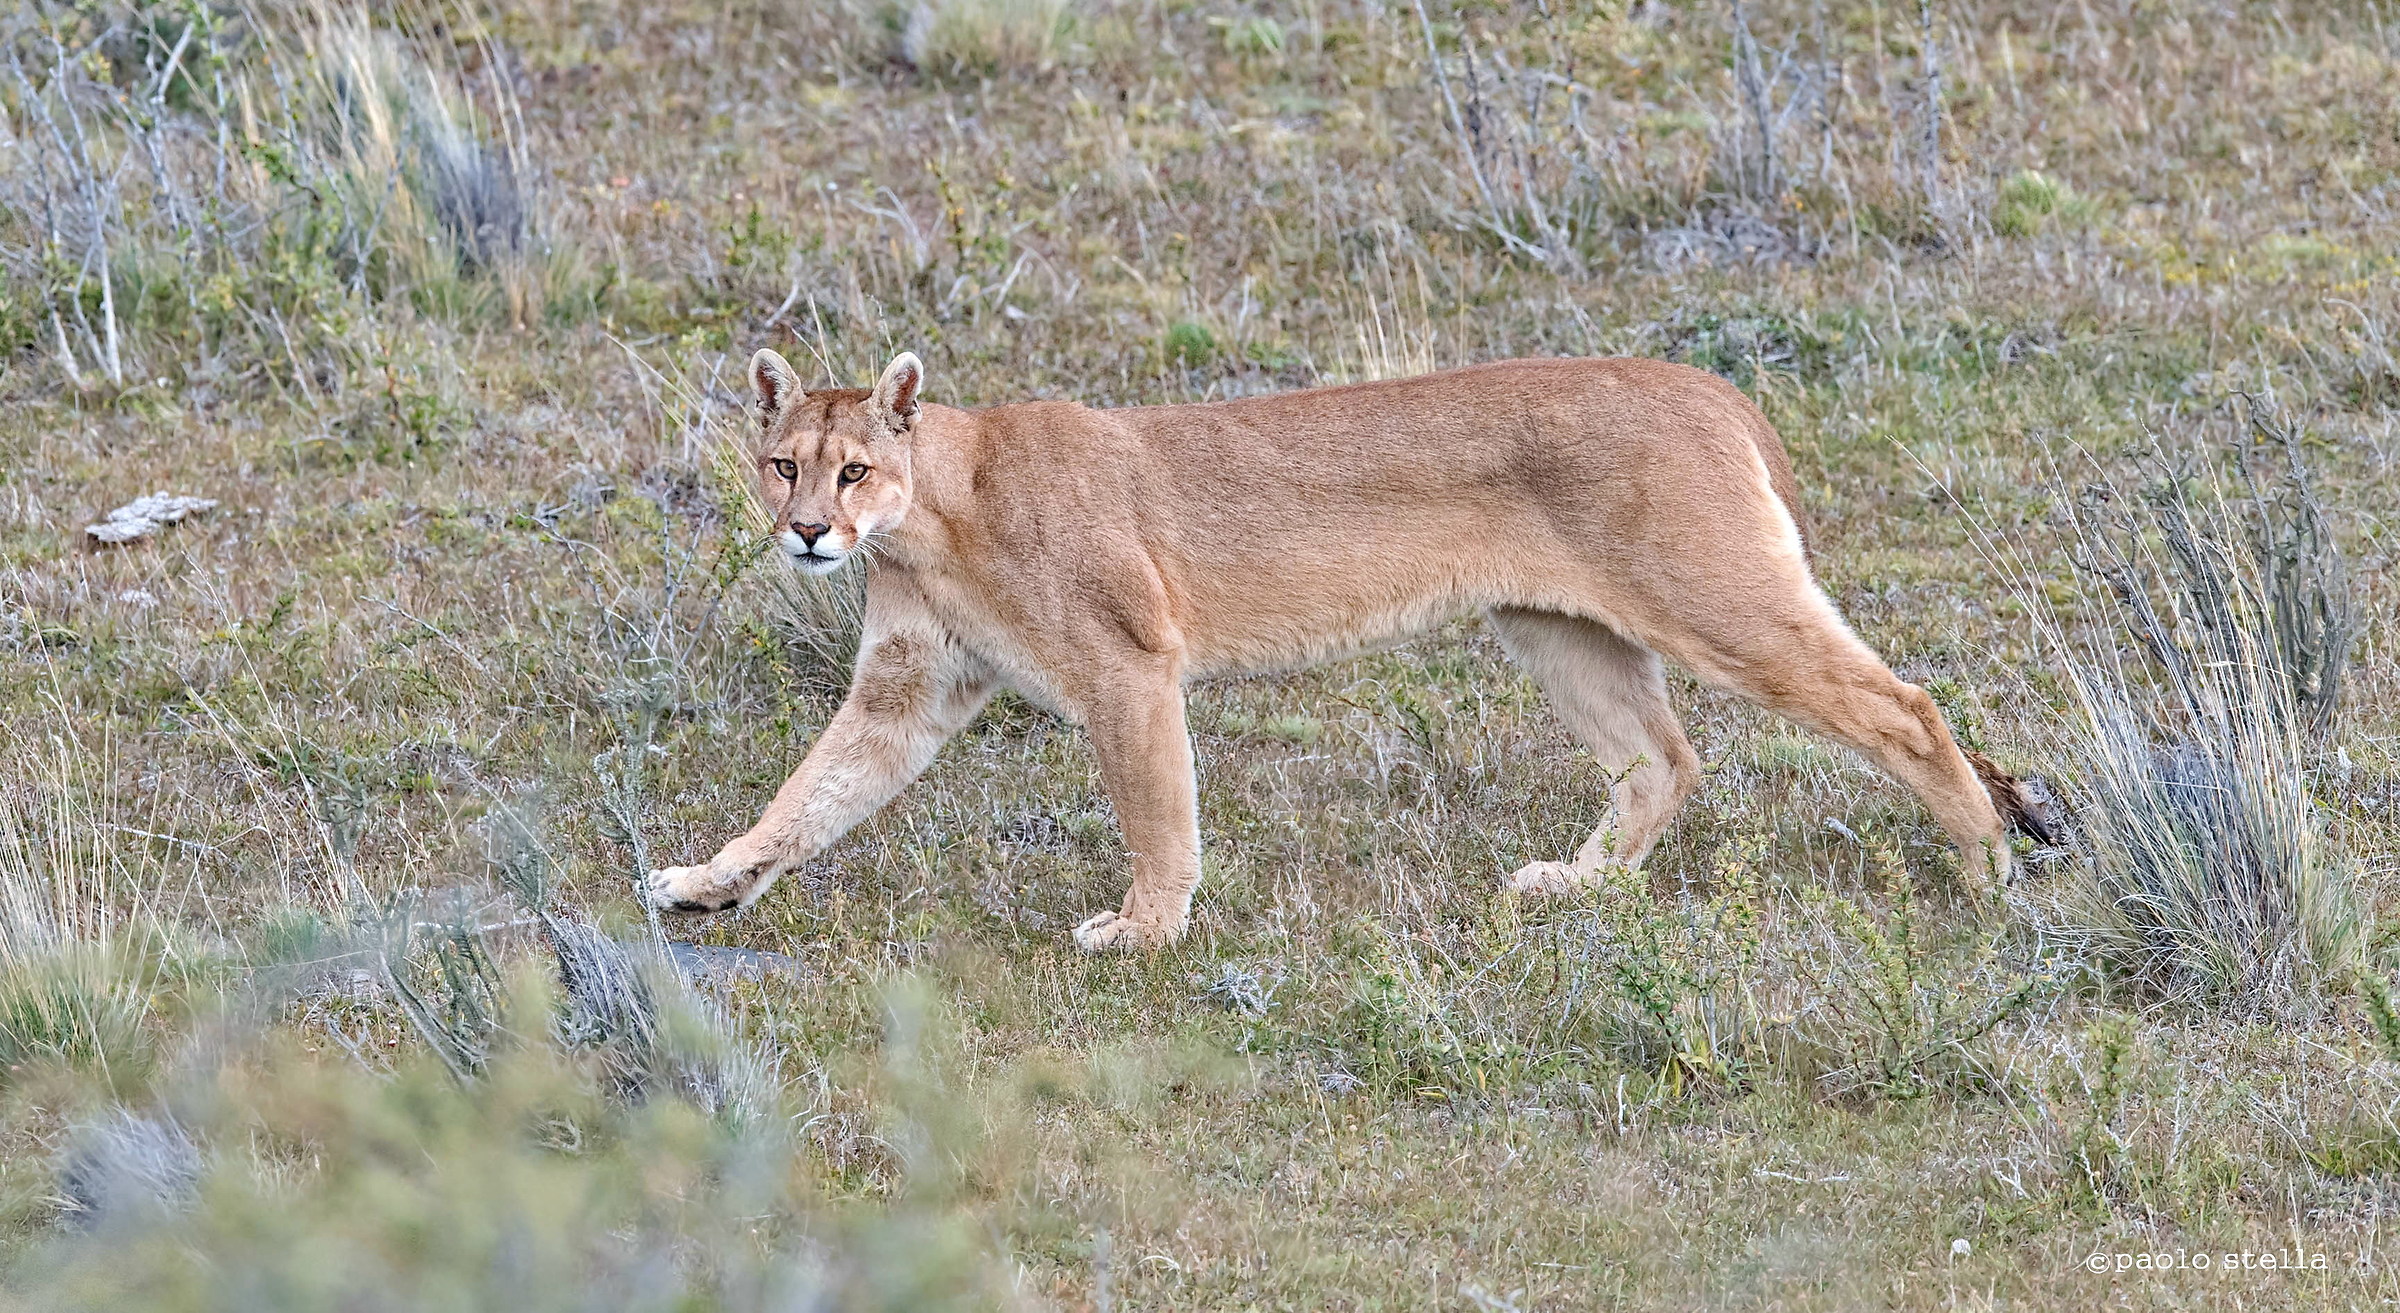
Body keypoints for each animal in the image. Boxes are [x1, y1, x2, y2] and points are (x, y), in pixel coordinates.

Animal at [646, 349, 2045, 950]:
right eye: (781, 463)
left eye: (853, 468)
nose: (810, 533)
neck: (934, 518)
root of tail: (1703, 380)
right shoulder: (909, 689)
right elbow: (808, 795)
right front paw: (710, 884)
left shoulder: (1128, 666)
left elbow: (1157, 813)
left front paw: (1142, 932)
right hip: (1555, 624)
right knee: (1664, 758)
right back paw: (1576, 886)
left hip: (1714, 602)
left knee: (1907, 707)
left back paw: (1985, 868)